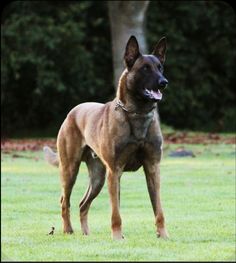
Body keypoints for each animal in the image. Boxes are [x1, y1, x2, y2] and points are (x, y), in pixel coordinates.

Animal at [44, 35, 169, 241]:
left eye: (160, 67)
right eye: (145, 68)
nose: (163, 82)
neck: (137, 113)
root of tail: (72, 112)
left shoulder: (152, 168)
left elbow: (158, 208)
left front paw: (163, 235)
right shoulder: (115, 171)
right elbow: (115, 212)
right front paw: (117, 237)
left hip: (98, 177)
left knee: (82, 204)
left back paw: (86, 233)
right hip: (71, 169)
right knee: (65, 201)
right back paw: (68, 230)